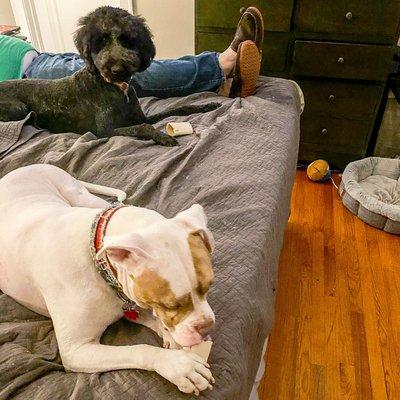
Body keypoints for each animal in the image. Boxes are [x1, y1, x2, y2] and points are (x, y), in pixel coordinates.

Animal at [0, 164, 216, 396]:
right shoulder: (76, 350)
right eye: (170, 305)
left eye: (209, 286)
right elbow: (139, 348)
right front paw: (178, 365)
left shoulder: (130, 300)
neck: (99, 262)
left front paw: (169, 337)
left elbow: (151, 318)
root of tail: (24, 168)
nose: (207, 327)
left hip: (83, 198)